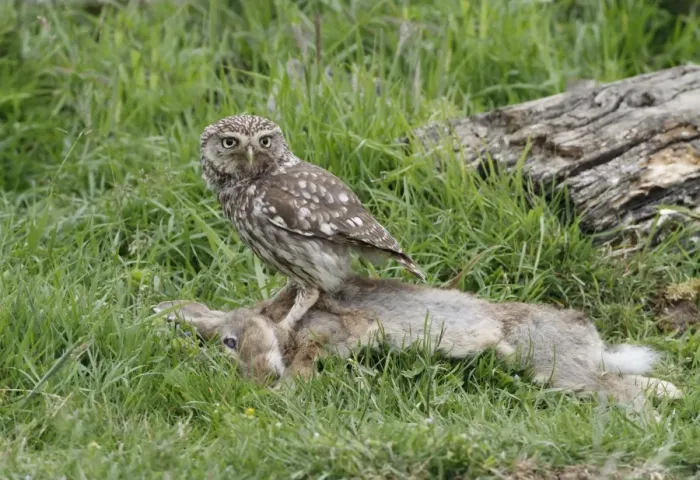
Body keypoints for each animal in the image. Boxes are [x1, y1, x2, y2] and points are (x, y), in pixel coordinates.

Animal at [153, 275, 683, 411]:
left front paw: (292, 388)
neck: (282, 327)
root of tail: (587, 333)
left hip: (554, 366)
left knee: (616, 391)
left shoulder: (338, 330)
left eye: (230, 341)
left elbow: (313, 353)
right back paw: (672, 395)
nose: (259, 382)